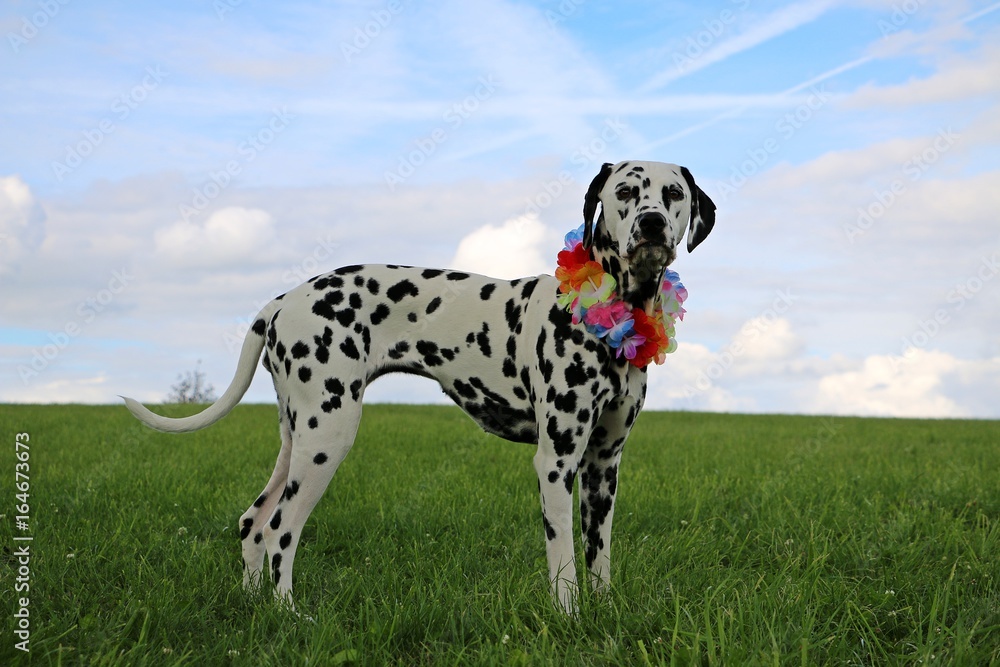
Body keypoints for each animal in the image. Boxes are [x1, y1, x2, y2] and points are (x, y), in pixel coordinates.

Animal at [125, 159, 716, 612]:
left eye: (672, 193)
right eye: (625, 191)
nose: (652, 224)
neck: (614, 307)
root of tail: (282, 300)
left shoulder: (603, 466)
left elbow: (600, 558)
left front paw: (604, 610)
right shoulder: (557, 462)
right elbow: (565, 562)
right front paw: (570, 616)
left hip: (297, 439)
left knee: (252, 522)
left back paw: (256, 605)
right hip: (327, 438)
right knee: (279, 531)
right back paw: (290, 614)